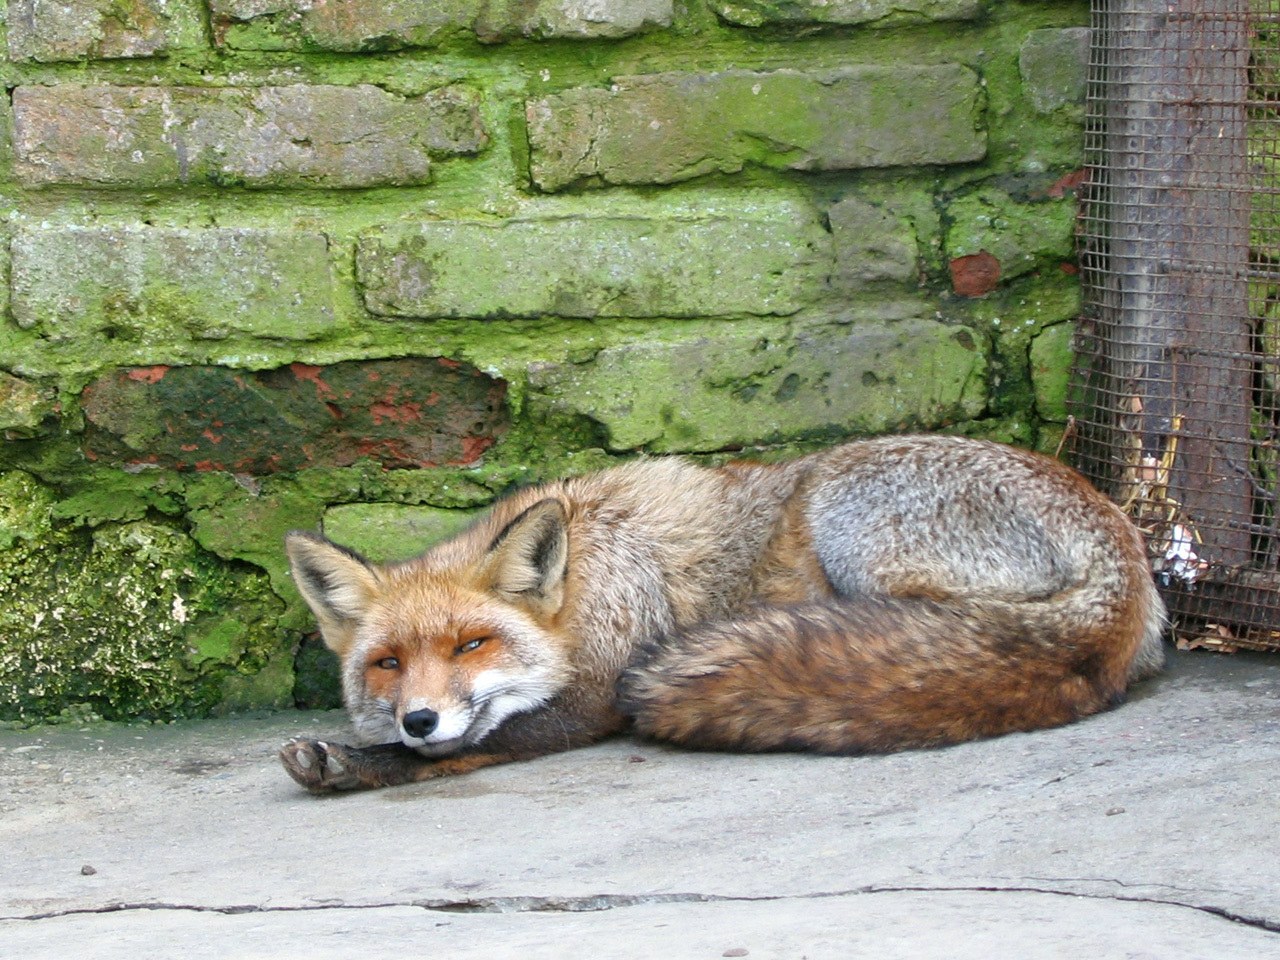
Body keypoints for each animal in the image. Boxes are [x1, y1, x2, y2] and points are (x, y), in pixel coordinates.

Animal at [280, 434, 1166, 793]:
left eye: (472, 643)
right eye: (387, 663)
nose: (419, 717)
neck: (589, 567)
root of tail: (1121, 539)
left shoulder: (601, 690)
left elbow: (473, 746)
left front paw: (354, 762)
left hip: (844, 509)